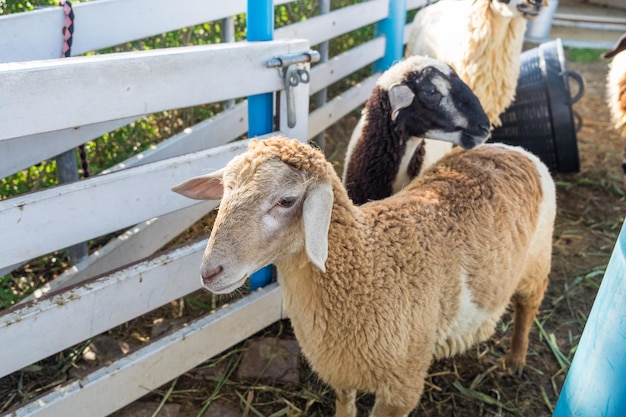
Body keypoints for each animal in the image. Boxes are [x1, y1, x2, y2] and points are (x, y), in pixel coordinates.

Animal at [172, 136, 556, 416]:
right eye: (225, 191)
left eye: (286, 201)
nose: (209, 272)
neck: (366, 265)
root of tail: (509, 149)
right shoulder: (340, 364)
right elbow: (345, 402)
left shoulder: (401, 387)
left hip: (536, 263)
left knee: (528, 307)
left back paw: (515, 361)